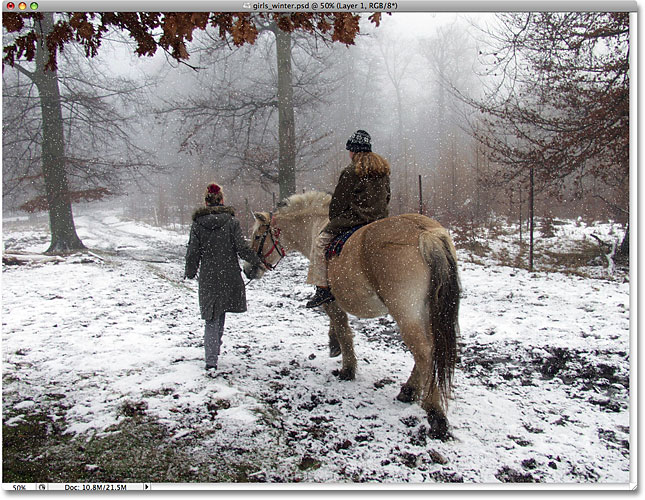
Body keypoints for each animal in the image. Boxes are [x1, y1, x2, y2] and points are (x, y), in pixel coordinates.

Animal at [244, 191, 460, 438]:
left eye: (258, 236)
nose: (247, 269)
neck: (318, 227)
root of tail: (425, 233)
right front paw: (334, 346)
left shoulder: (331, 302)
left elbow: (343, 330)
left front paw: (346, 368)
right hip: (425, 312)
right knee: (429, 349)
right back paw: (409, 391)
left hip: (407, 314)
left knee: (424, 352)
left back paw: (435, 414)